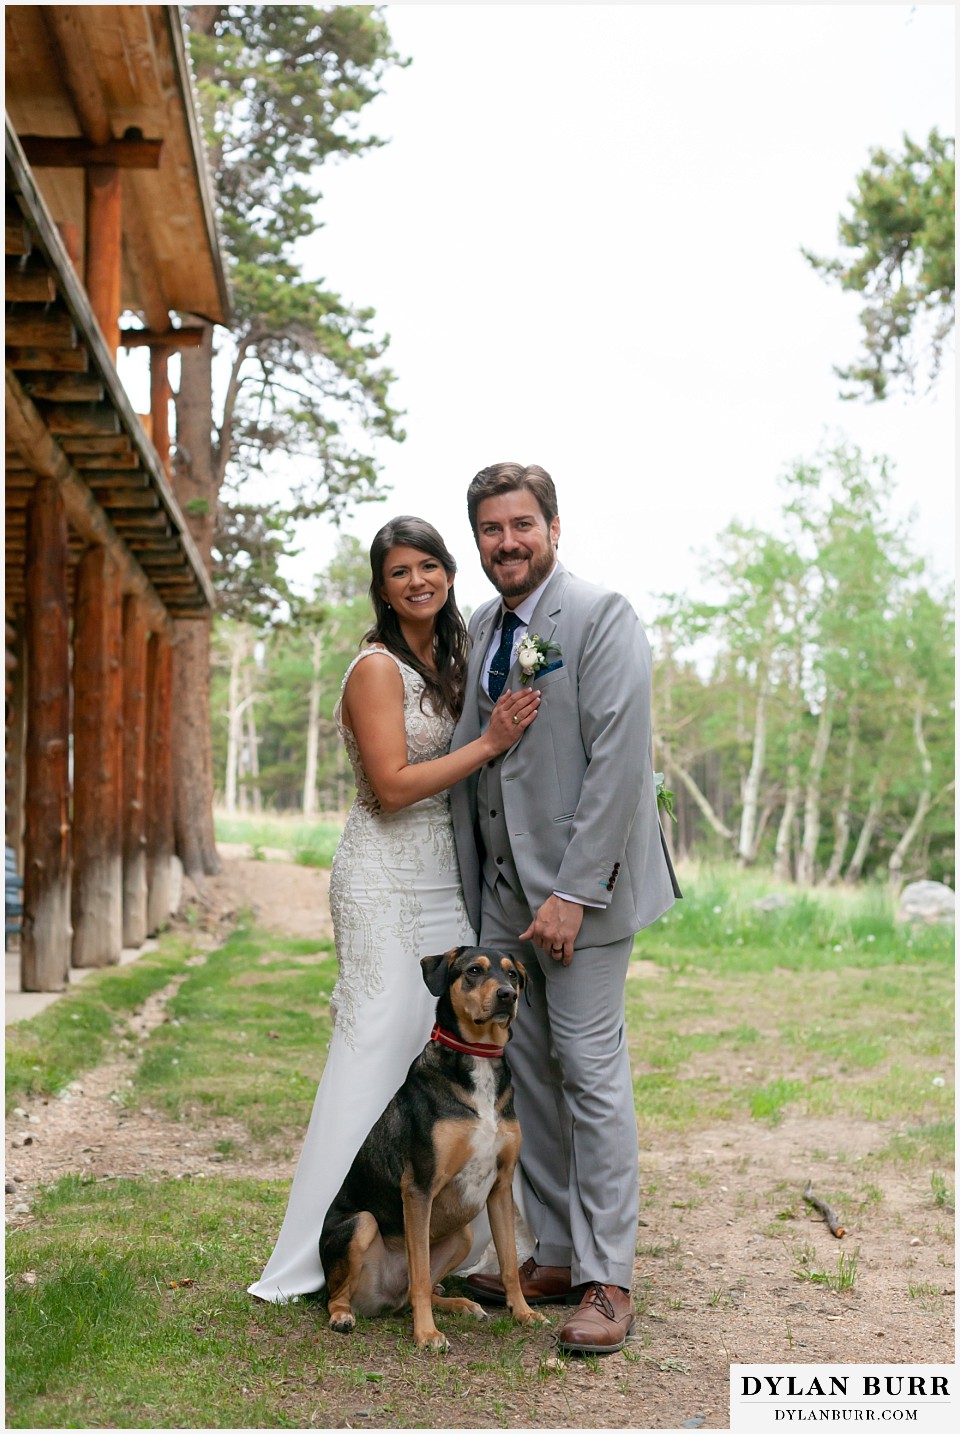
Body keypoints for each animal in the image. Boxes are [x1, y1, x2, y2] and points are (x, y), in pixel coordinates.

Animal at [318, 946, 545, 1347]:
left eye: (513, 975)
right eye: (474, 971)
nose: (508, 996)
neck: (479, 1057)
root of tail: (383, 1297)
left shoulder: (501, 1187)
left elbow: (508, 1264)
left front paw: (523, 1313)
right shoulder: (419, 1188)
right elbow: (422, 1275)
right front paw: (426, 1334)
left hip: (463, 1234)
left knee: (409, 1293)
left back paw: (460, 1304)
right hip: (361, 1223)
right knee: (346, 1293)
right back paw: (343, 1316)